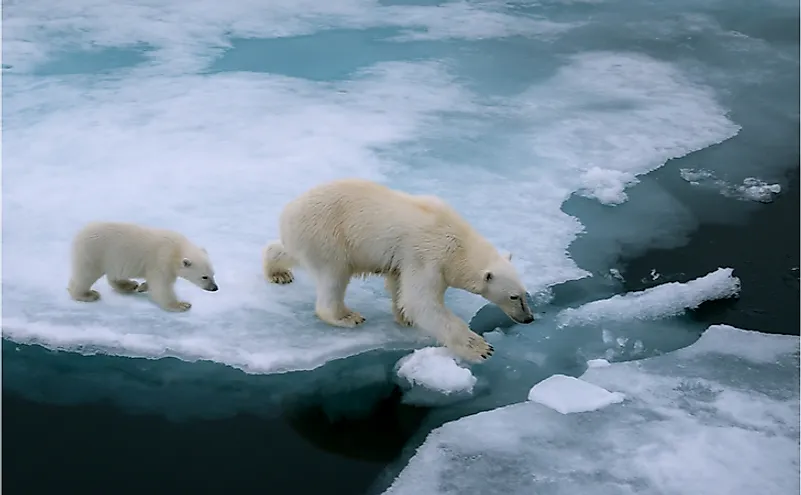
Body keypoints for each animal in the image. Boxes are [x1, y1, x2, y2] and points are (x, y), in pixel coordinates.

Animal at [266, 179, 536, 364]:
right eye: (514, 296)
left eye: (526, 294)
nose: (529, 318)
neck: (459, 243)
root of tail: (286, 213)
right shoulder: (429, 255)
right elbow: (421, 301)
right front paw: (481, 348)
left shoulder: (407, 259)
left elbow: (400, 284)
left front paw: (404, 316)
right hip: (327, 236)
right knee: (334, 276)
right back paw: (346, 316)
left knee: (289, 252)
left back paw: (277, 271)